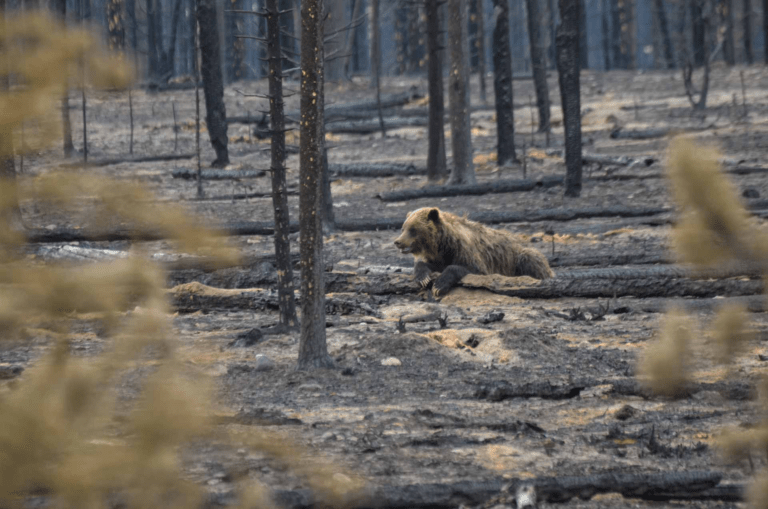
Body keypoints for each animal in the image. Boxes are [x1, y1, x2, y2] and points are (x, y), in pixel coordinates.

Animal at [396, 205, 552, 296]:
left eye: (413, 229)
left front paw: (439, 285)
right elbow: (427, 265)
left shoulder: (465, 251)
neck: (442, 243)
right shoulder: (439, 257)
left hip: (517, 257)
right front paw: (423, 278)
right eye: (403, 228)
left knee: (531, 259)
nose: (398, 242)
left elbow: (469, 268)